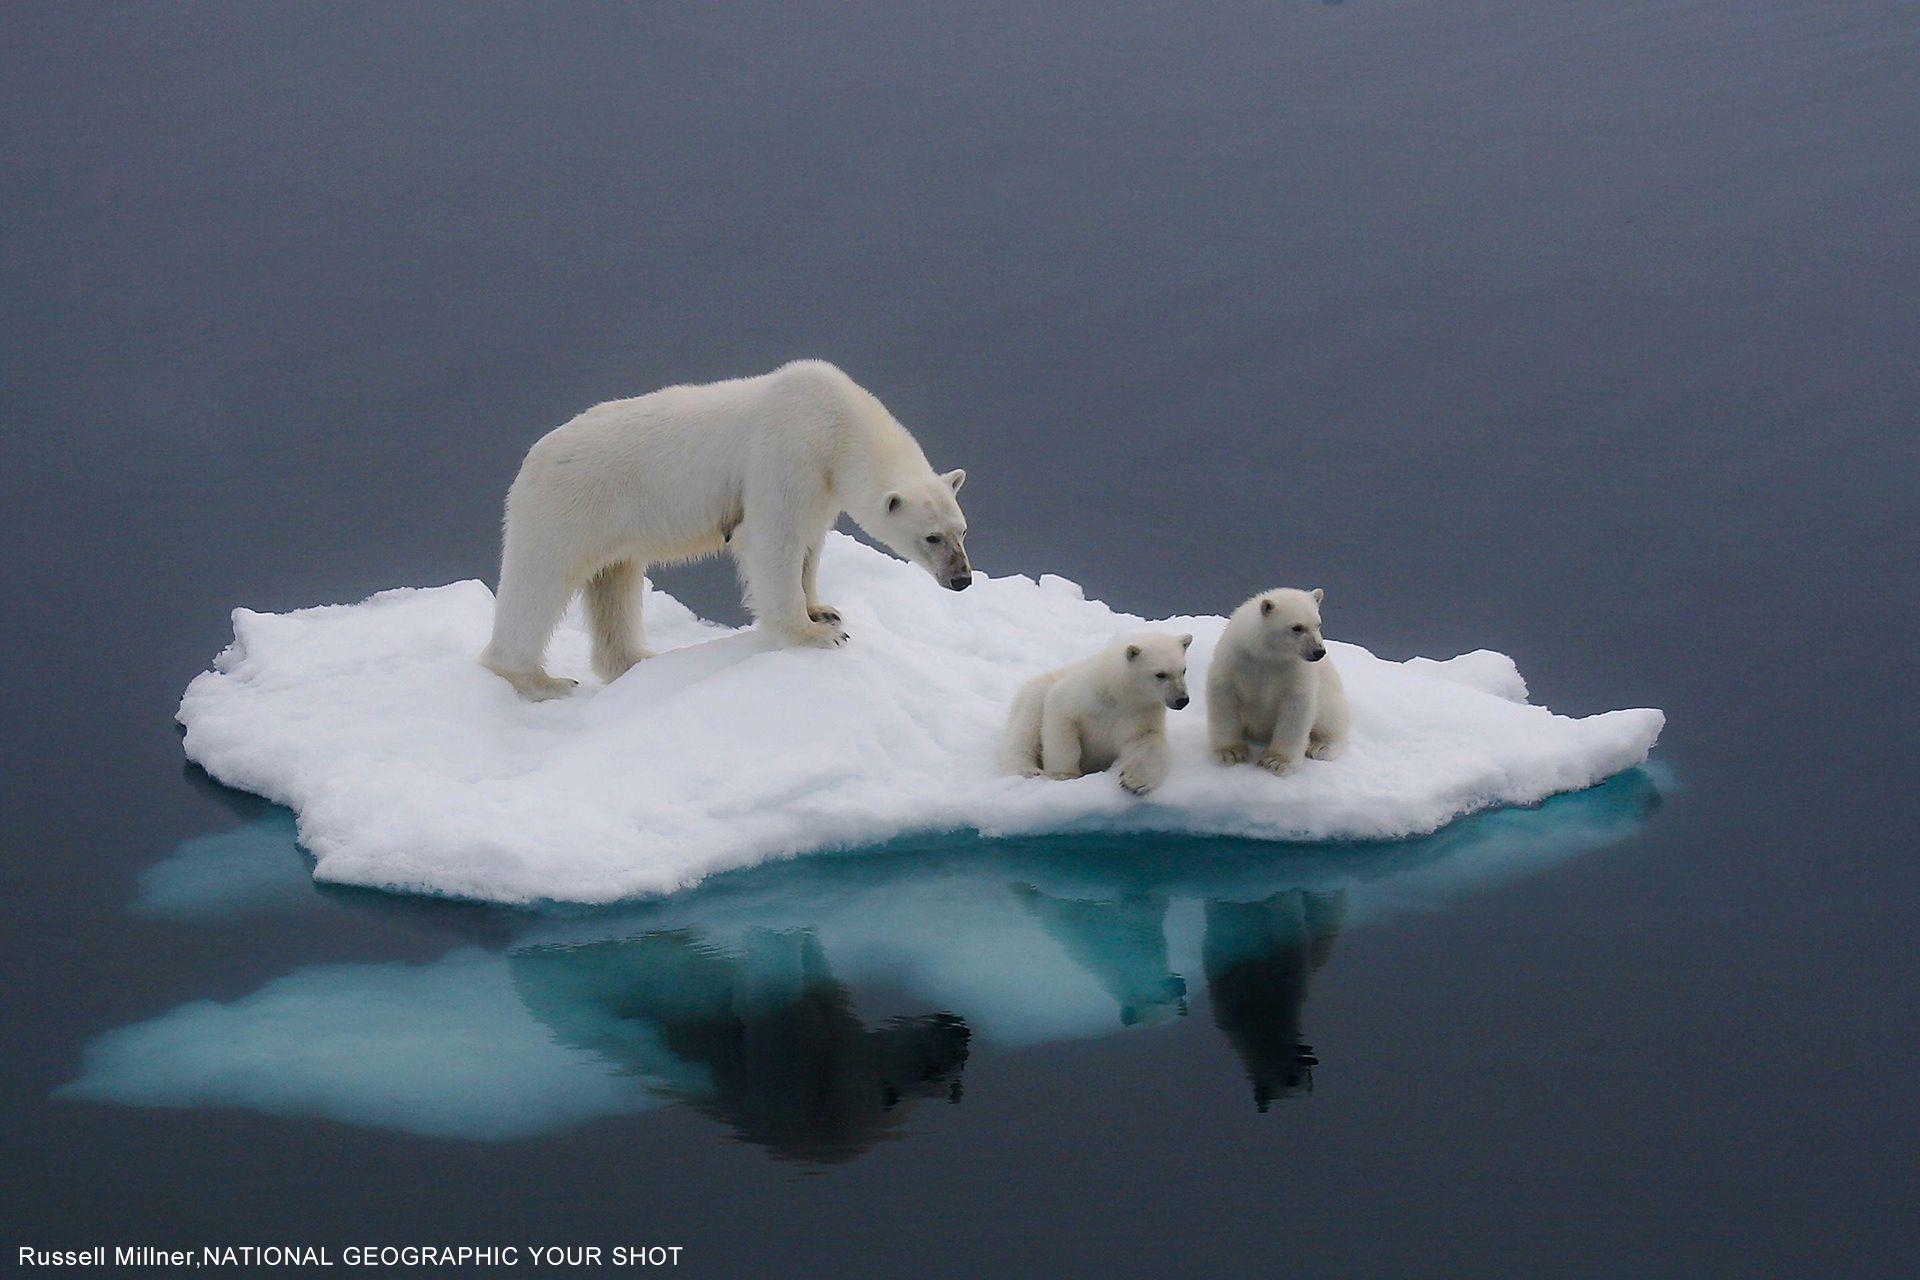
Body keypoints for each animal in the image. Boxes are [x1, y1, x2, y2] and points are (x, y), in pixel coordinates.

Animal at [474, 360, 967, 702]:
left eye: (962, 529)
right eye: (932, 537)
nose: (961, 578)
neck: (836, 420)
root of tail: (532, 459)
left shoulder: (821, 483)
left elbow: (809, 542)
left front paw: (823, 609)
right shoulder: (784, 453)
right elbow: (773, 539)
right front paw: (816, 635)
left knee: (614, 583)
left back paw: (641, 660)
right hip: (567, 506)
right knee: (539, 582)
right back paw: (543, 680)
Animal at [998, 629, 1190, 790]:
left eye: (1183, 670)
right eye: (1160, 674)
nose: (1182, 700)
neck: (1119, 692)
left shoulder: (1141, 711)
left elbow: (1145, 740)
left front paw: (1134, 781)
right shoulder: (1084, 694)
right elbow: (1061, 719)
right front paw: (1064, 774)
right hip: (1034, 694)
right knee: (1024, 731)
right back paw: (1027, 769)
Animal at [1205, 587, 1359, 771]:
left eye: (1318, 624)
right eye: (1297, 627)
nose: (1318, 652)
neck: (1266, 655)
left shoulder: (1293, 670)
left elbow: (1296, 708)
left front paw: (1276, 761)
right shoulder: (1237, 659)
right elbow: (1224, 697)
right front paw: (1230, 752)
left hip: (1331, 695)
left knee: (1333, 717)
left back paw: (1321, 746)